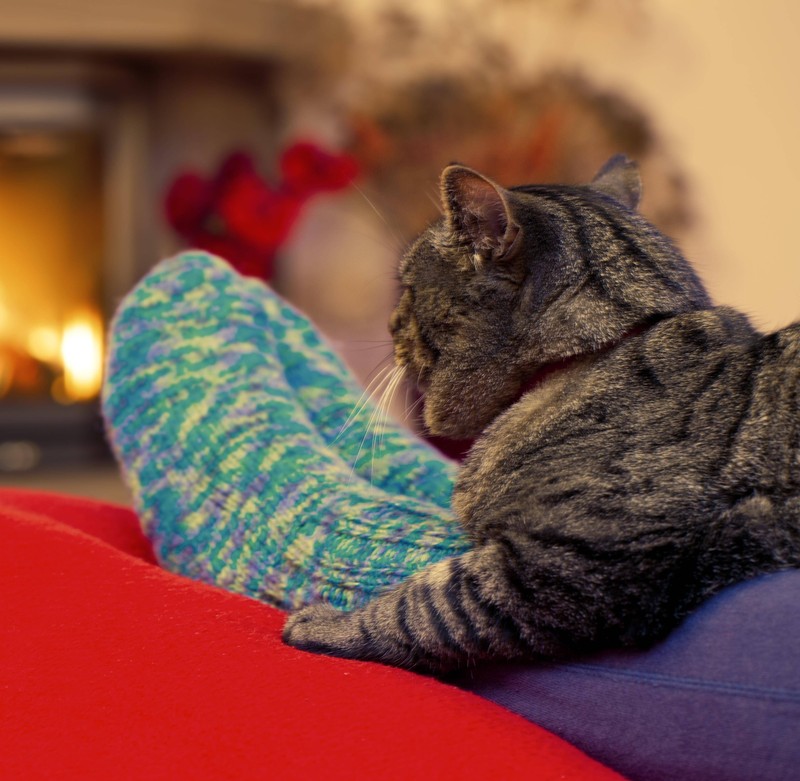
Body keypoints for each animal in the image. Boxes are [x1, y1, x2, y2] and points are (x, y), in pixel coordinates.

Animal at [282, 154, 800, 672]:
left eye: (408, 289)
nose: (389, 326)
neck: (593, 356)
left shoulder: (564, 566)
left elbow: (420, 607)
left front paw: (327, 626)